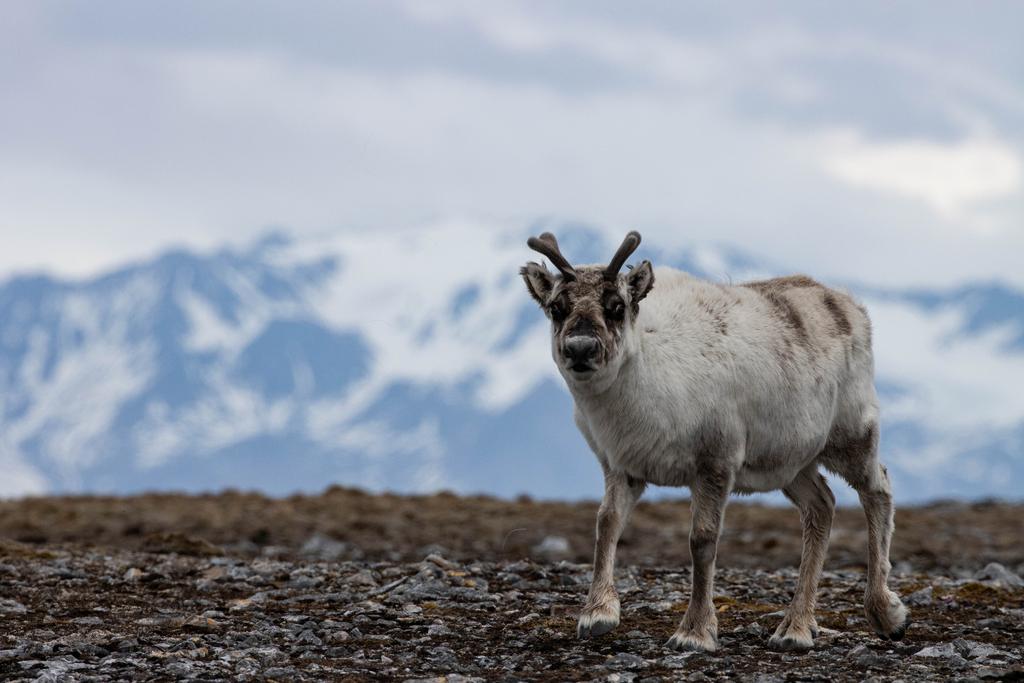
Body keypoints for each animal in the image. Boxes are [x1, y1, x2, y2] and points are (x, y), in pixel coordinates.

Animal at [520, 231, 909, 652]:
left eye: (616, 306)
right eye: (556, 308)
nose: (580, 348)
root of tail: (851, 306)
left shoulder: (716, 460)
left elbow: (702, 541)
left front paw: (695, 631)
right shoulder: (621, 464)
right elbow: (607, 523)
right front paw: (597, 614)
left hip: (852, 434)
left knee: (878, 488)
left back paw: (885, 613)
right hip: (789, 461)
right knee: (822, 506)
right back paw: (796, 628)